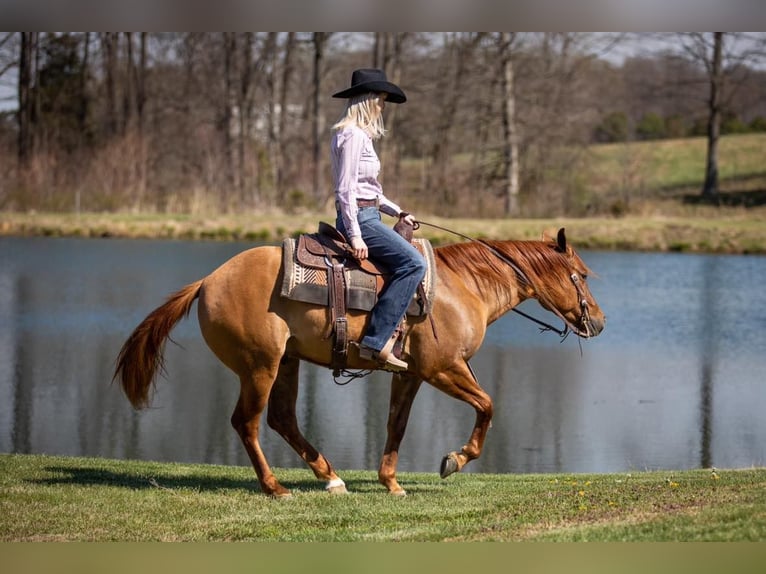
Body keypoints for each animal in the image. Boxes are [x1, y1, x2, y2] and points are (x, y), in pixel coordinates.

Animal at [114, 227, 608, 498]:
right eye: (581, 275)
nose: (600, 321)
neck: (463, 286)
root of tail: (207, 281)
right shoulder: (444, 369)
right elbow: (487, 406)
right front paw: (454, 459)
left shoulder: (412, 375)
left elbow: (396, 425)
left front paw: (390, 481)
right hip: (260, 366)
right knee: (247, 422)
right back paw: (276, 488)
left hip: (286, 363)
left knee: (281, 419)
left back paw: (330, 477)